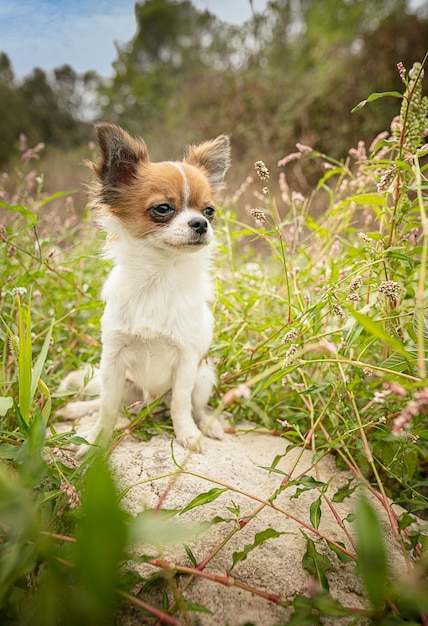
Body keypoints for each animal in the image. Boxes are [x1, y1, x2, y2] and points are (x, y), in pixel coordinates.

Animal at [61, 123, 231, 454]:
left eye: (209, 211)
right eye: (163, 208)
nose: (201, 224)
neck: (159, 276)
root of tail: (149, 402)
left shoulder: (187, 361)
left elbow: (180, 404)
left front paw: (187, 434)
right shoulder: (113, 359)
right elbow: (107, 408)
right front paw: (95, 441)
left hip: (204, 375)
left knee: (196, 406)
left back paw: (209, 425)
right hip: (124, 383)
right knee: (106, 401)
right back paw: (77, 409)